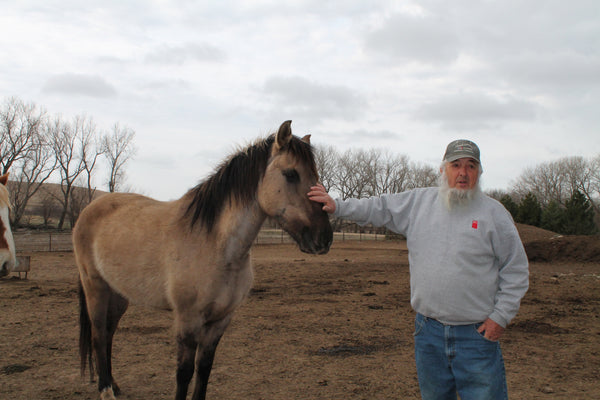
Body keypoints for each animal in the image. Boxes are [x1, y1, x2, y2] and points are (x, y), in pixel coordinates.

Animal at [74, 121, 332, 400]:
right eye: (291, 174)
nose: (324, 238)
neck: (216, 246)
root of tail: (90, 209)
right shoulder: (188, 322)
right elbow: (184, 374)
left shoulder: (220, 321)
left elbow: (204, 368)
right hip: (96, 288)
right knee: (98, 335)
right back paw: (106, 390)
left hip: (119, 294)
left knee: (109, 333)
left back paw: (114, 384)